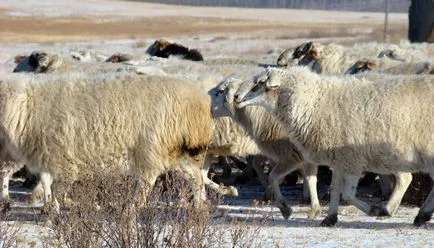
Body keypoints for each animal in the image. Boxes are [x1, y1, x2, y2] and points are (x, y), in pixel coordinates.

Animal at [209, 77, 320, 219]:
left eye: (221, 91)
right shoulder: (301, 158)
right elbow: (311, 179)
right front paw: (314, 209)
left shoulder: (290, 156)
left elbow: (274, 177)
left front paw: (283, 207)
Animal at [234, 67, 434, 226]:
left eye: (259, 83)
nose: (236, 97)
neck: (314, 104)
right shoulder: (338, 160)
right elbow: (335, 190)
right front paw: (329, 218)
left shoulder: (352, 159)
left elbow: (347, 194)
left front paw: (372, 210)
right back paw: (411, 213)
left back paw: (415, 213)